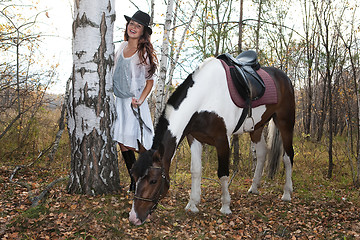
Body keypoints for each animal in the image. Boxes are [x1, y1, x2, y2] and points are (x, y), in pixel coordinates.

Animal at [129, 57, 296, 225]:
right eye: (134, 176)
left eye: (153, 181)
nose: (134, 218)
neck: (205, 96)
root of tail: (284, 77)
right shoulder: (194, 138)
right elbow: (196, 170)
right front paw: (192, 204)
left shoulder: (222, 139)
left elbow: (223, 173)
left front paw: (225, 206)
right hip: (257, 128)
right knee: (262, 153)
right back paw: (254, 188)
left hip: (285, 122)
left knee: (288, 156)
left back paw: (287, 193)